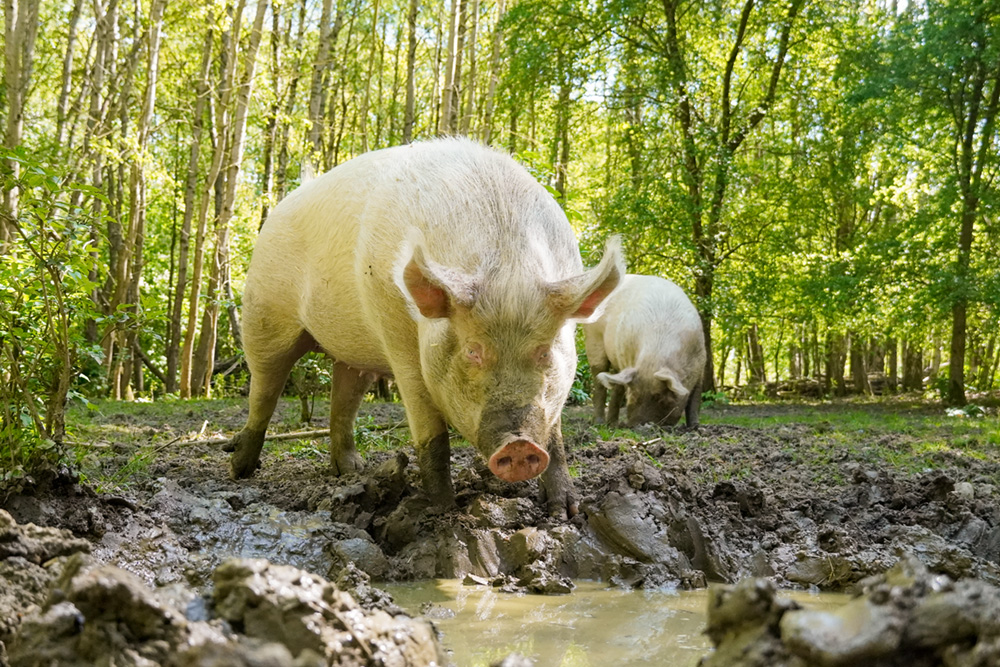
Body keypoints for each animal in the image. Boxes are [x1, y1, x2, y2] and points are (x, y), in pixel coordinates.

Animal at [226, 138, 624, 518]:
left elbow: (555, 439)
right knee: (265, 389)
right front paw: (441, 511)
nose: (520, 445)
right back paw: (239, 470)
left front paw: (567, 512)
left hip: (352, 351)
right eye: (472, 350)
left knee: (344, 397)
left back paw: (351, 470)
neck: (508, 271)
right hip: (263, 312)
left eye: (545, 351)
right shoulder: (397, 336)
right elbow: (431, 431)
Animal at [584, 274, 706, 427]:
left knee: (617, 386)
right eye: (633, 394)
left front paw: (694, 427)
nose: (638, 427)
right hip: (593, 339)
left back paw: (612, 424)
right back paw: (599, 423)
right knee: (599, 379)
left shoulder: (701, 363)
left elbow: (695, 399)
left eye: (660, 396)